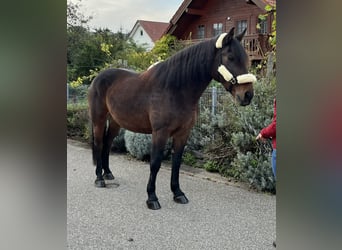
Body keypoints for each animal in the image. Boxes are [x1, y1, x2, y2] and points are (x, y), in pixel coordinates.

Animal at [88, 27, 256, 210]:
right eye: (230, 57)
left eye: (246, 58)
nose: (247, 95)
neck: (174, 89)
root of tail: (98, 77)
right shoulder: (160, 133)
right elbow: (155, 163)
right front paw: (152, 197)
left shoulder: (183, 133)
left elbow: (176, 163)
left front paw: (178, 193)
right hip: (98, 120)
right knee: (99, 144)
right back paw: (99, 179)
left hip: (115, 122)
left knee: (107, 144)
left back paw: (108, 173)